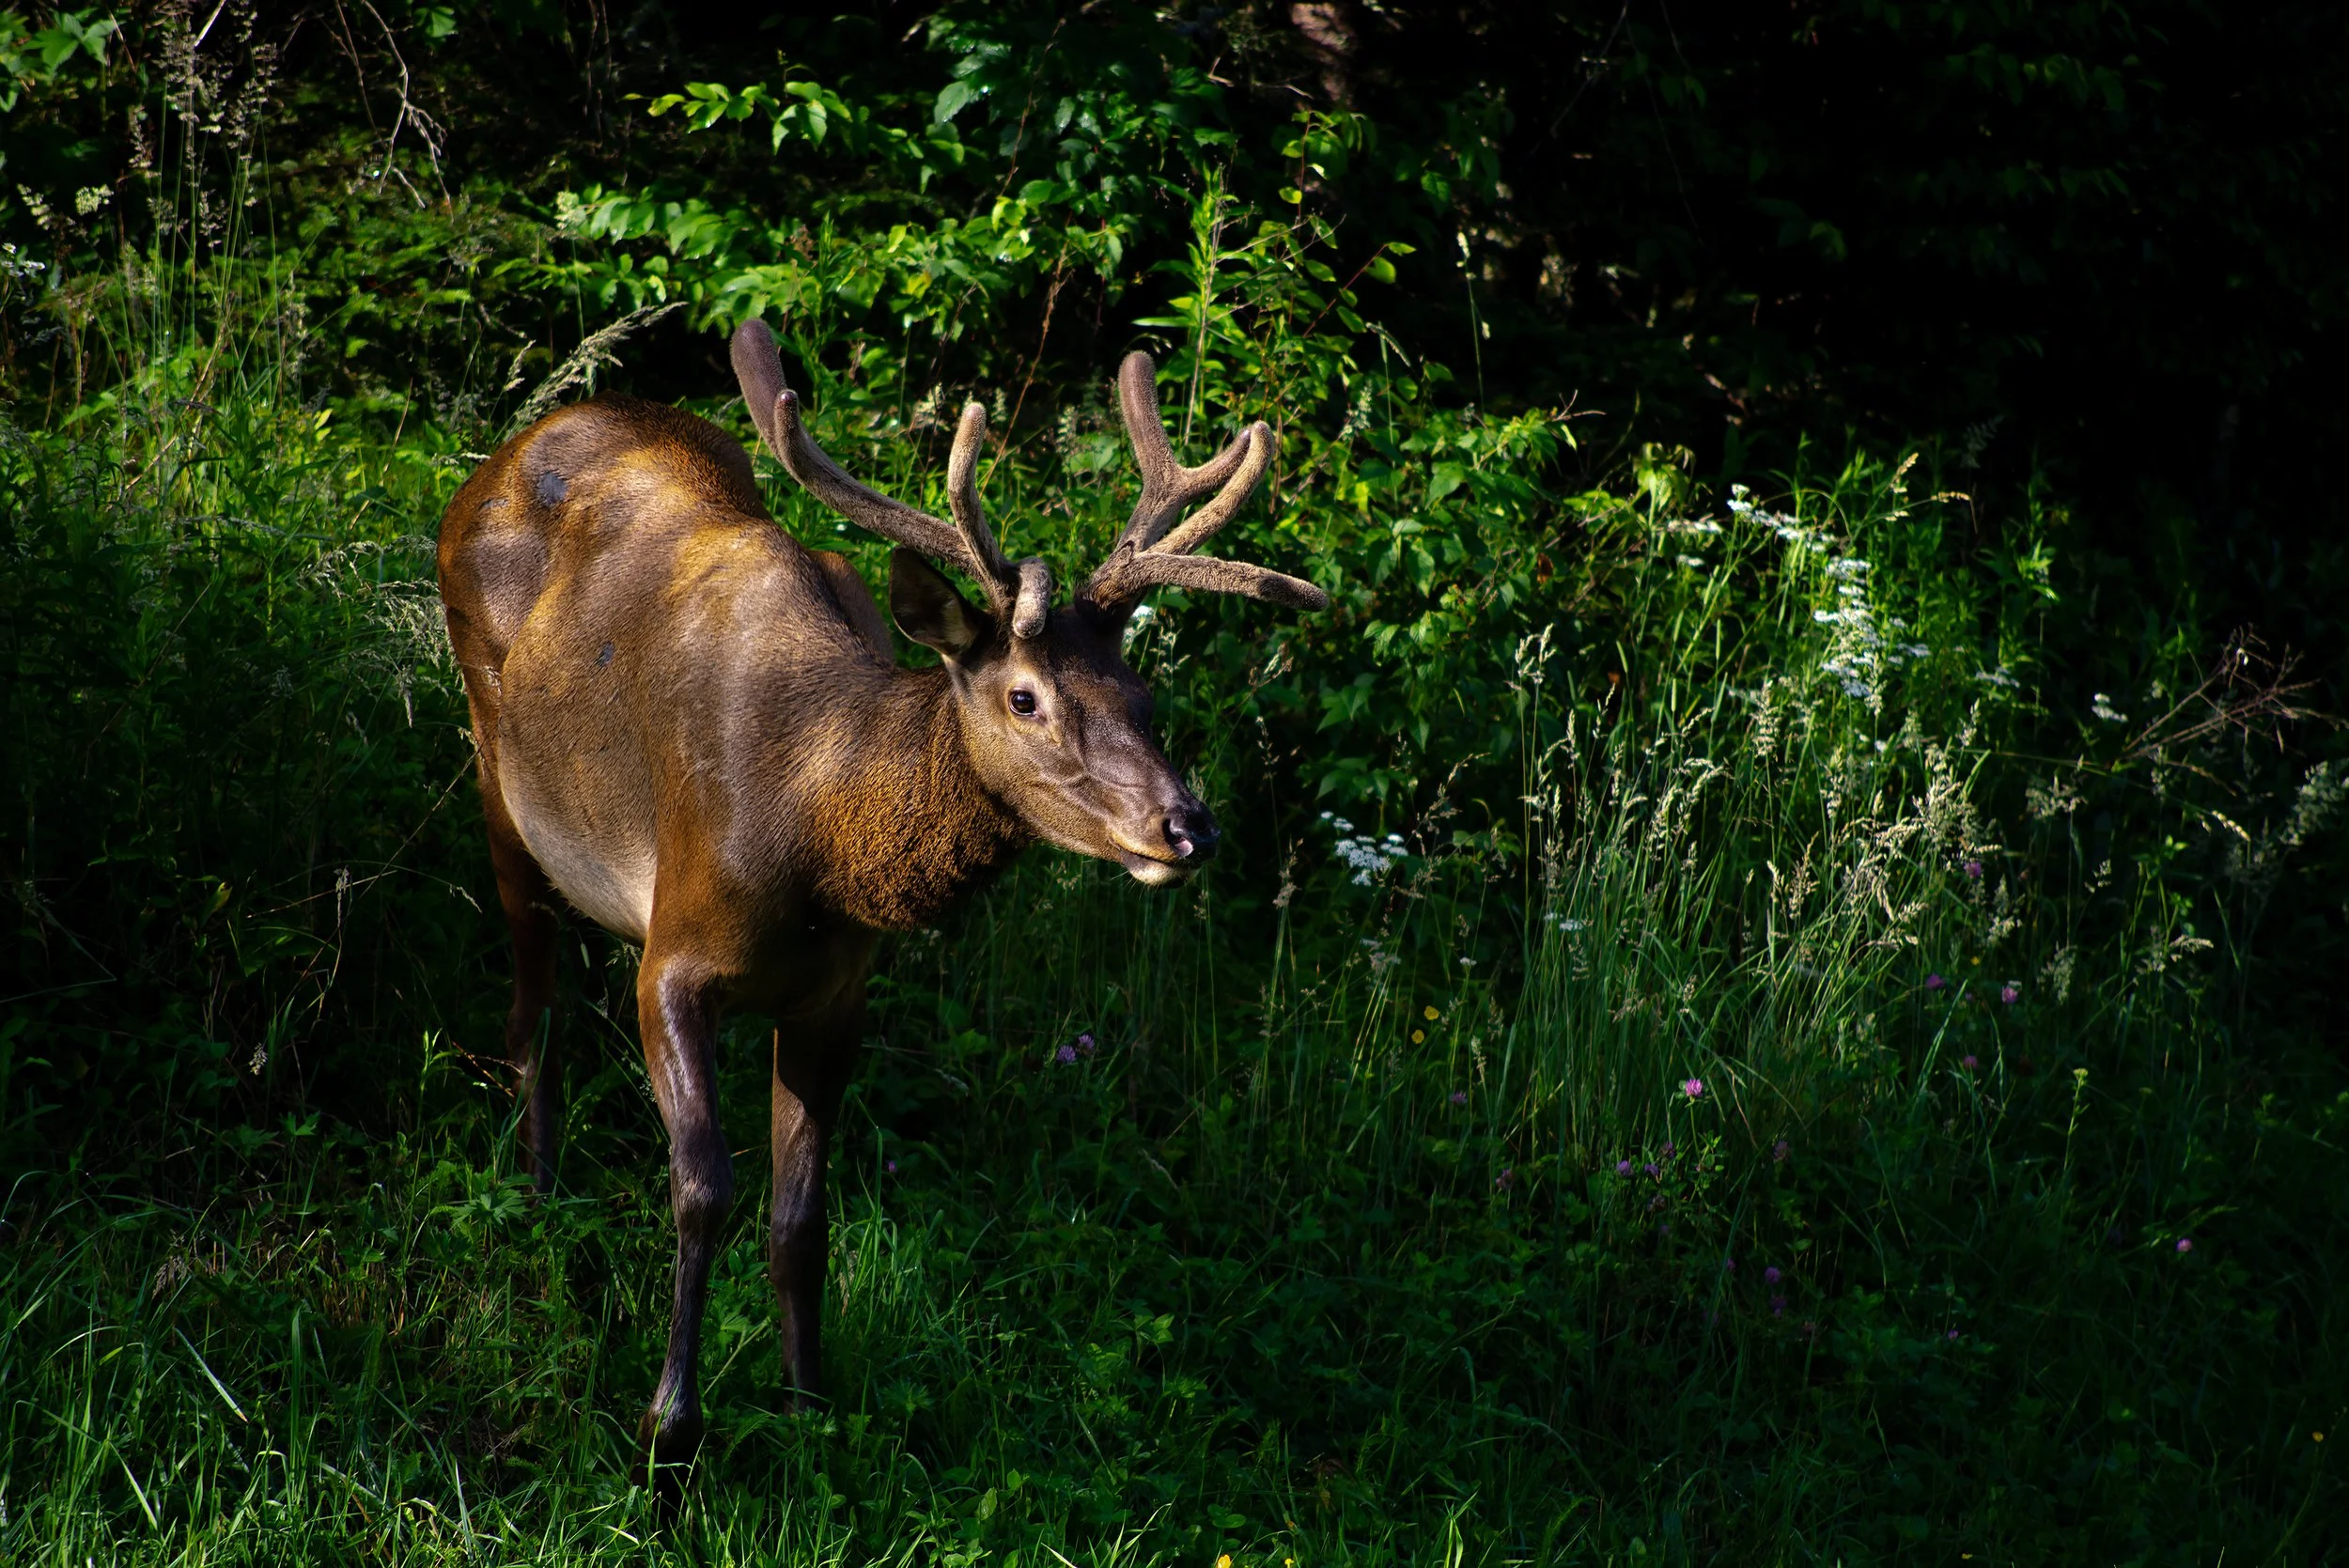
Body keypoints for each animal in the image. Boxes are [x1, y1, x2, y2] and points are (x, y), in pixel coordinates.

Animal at [434, 317, 1326, 1487]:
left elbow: (801, 1218)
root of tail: (505, 453)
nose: (1187, 827)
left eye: (1141, 696)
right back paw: (535, 1198)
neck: (815, 835)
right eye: (1024, 697)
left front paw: (810, 1412)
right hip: (496, 770)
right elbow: (703, 1188)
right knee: (527, 1002)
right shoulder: (673, 955)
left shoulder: (836, 992)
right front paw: (668, 1433)